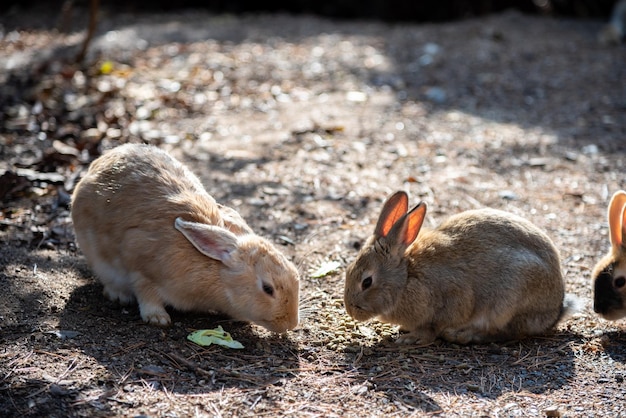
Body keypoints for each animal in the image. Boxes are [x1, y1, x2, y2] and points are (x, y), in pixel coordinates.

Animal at [70, 144, 300, 334]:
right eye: (267, 289)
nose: (290, 324)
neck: (216, 271)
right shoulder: (141, 266)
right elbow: (145, 291)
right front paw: (158, 318)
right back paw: (119, 295)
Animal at [344, 191, 576, 344]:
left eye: (367, 282)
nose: (351, 310)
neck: (406, 276)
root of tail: (556, 309)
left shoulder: (451, 300)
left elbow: (431, 329)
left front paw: (410, 339)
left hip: (509, 300)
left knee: (503, 333)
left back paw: (461, 335)